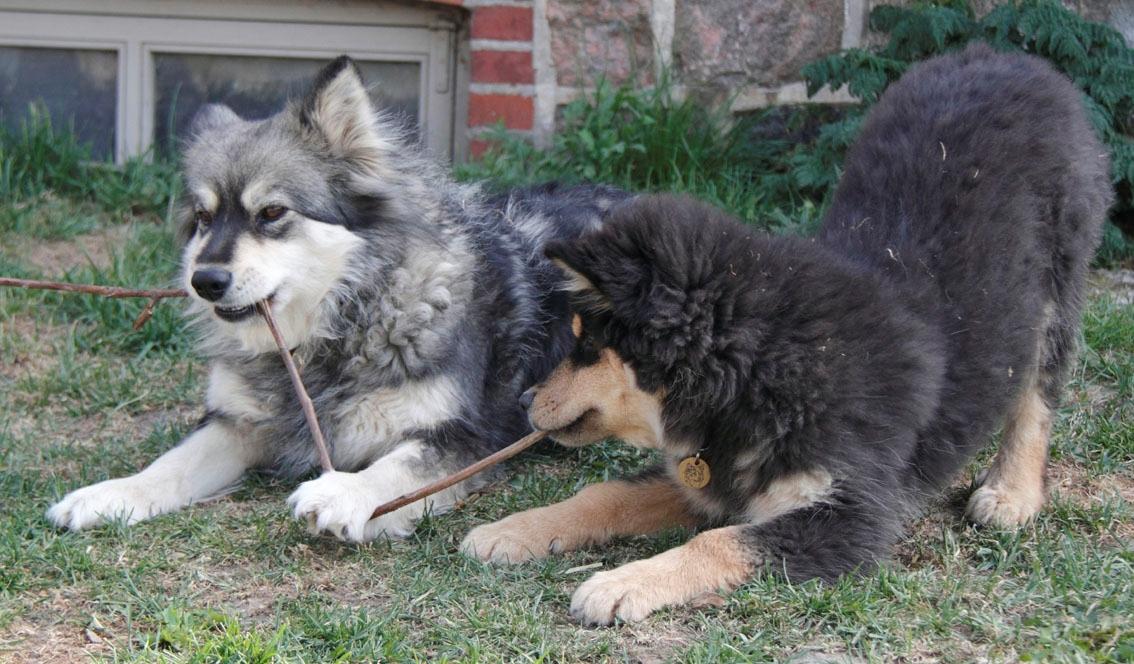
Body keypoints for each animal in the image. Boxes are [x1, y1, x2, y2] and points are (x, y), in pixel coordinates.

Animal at [46, 55, 621, 537]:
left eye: (272, 212)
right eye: (204, 218)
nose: (204, 281)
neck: (340, 324)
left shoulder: (464, 437)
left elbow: (394, 468)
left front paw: (345, 492)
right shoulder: (237, 423)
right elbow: (173, 462)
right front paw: (112, 494)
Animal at [458, 43, 1106, 620]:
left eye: (589, 345)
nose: (524, 399)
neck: (766, 367)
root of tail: (1004, 58)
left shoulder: (850, 514)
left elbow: (719, 542)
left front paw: (620, 584)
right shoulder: (711, 476)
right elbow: (608, 493)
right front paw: (516, 530)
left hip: (1058, 277)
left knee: (1037, 392)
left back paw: (1012, 492)